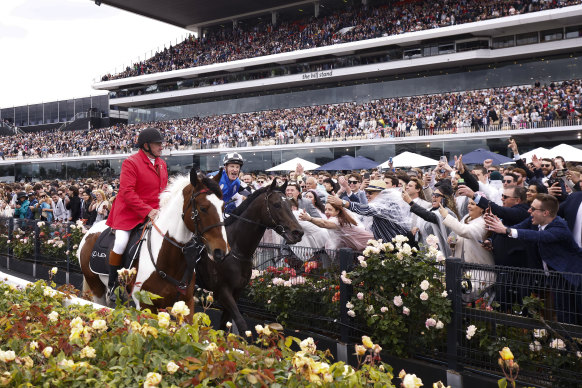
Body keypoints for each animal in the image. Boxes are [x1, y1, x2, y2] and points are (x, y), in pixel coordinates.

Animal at [78, 168, 229, 320]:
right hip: (97, 287)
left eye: (223, 207)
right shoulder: (146, 305)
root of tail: (90, 230)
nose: (221, 252)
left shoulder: (186, 303)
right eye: (203, 208)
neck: (169, 259)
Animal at [197, 179, 306, 334]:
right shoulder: (222, 291)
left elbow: (224, 324)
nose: (298, 232)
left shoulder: (237, 291)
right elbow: (241, 324)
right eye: (276, 204)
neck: (235, 249)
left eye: (290, 206)